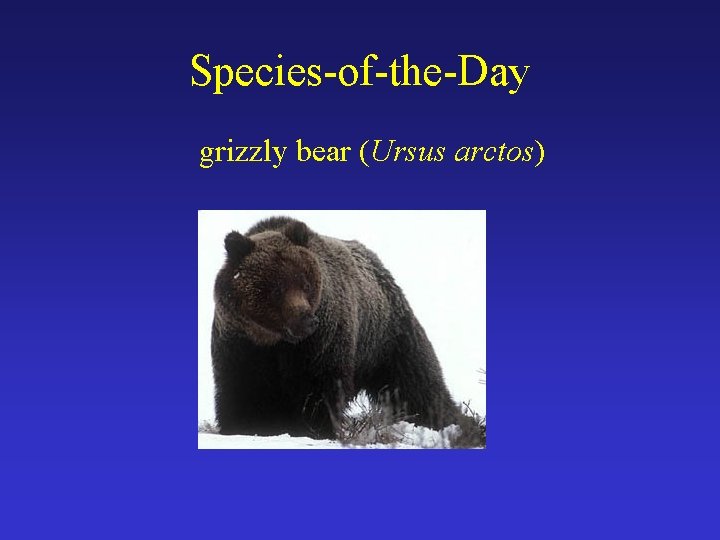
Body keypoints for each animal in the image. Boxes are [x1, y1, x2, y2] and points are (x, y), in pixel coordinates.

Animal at [211, 216, 463, 439]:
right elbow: (240, 386)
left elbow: (319, 386)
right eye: (276, 289)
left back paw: (450, 421)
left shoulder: (321, 343)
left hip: (387, 337)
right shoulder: (241, 344)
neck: (276, 342)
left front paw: (314, 428)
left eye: (305, 284)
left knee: (416, 382)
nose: (307, 320)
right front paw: (242, 426)